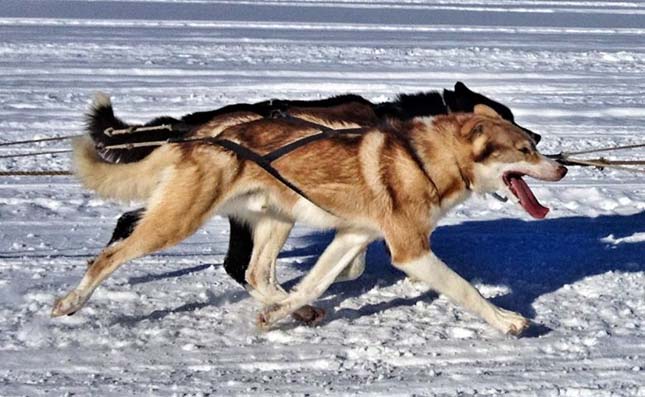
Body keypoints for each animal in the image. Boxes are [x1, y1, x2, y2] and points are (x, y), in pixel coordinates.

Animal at [52, 97, 564, 332]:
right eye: (525, 149)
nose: (559, 165)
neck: (423, 158)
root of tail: (198, 134)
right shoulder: (410, 250)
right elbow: (464, 289)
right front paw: (508, 320)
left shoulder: (352, 236)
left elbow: (315, 282)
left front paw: (282, 311)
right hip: (178, 220)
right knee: (109, 256)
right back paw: (69, 302)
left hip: (277, 219)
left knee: (256, 273)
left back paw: (290, 308)